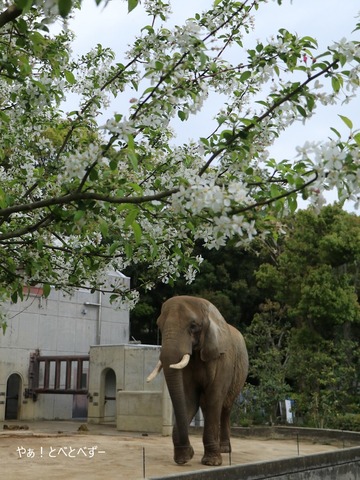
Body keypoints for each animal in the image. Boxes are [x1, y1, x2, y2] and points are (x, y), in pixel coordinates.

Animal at [146, 294, 248, 466]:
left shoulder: (223, 359)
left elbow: (214, 397)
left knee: (225, 407)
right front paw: (184, 458)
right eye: (159, 325)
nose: (190, 451)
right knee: (207, 407)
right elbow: (189, 399)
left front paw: (212, 462)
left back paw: (224, 450)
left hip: (239, 373)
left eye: (193, 326)